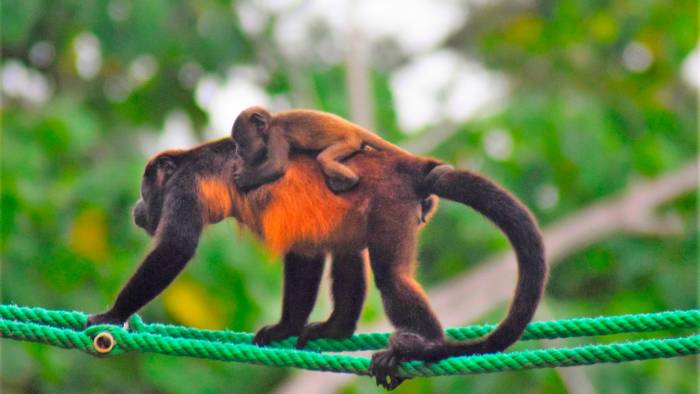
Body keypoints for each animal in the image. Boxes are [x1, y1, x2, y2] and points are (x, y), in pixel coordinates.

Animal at [86, 138, 548, 388]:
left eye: (145, 189)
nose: (136, 208)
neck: (187, 160)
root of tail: (410, 164)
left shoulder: (184, 187)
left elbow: (176, 248)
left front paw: (112, 313)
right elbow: (304, 251)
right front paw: (286, 328)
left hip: (392, 204)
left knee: (391, 275)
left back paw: (427, 345)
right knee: (347, 251)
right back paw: (338, 328)